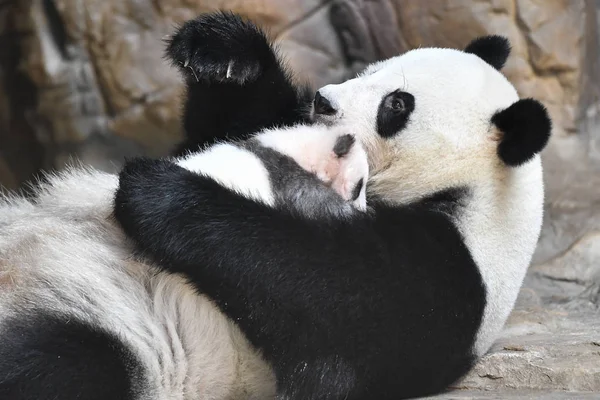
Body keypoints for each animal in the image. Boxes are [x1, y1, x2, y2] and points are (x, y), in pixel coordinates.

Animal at [0, 10, 552, 400]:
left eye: (396, 104)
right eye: (371, 68)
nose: (324, 101)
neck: (478, 195)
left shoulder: (446, 285)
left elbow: (317, 284)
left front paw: (158, 192)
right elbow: (231, 123)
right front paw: (222, 53)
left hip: (131, 338)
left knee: (58, 367)